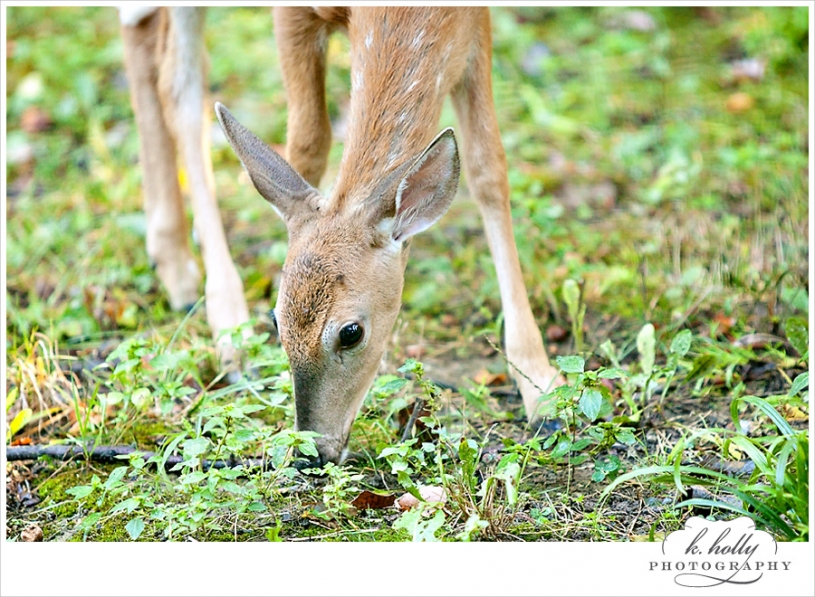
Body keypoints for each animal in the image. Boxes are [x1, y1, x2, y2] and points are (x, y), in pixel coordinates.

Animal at [119, 6, 562, 465]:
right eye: (276, 319)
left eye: (352, 332)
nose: (314, 448)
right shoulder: (291, 16)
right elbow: (307, 144)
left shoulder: (474, 23)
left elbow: (487, 168)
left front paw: (541, 387)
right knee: (178, 81)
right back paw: (222, 318)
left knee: (147, 37)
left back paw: (174, 263)